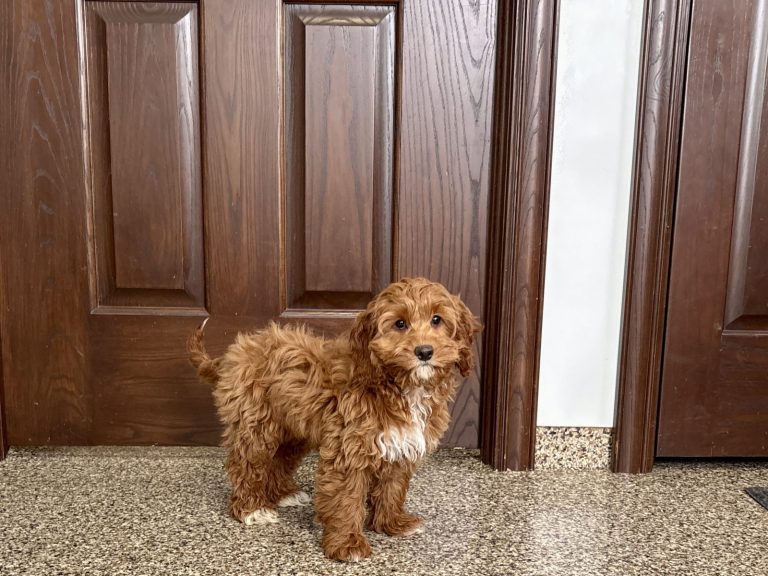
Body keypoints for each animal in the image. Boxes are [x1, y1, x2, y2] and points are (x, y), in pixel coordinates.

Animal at [188, 277, 481, 561]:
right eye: (400, 323)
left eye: (437, 319)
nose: (424, 351)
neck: (395, 383)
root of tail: (236, 352)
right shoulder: (348, 450)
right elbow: (346, 499)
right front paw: (347, 545)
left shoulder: (400, 446)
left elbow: (393, 487)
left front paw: (392, 523)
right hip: (256, 424)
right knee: (246, 464)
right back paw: (251, 508)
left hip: (293, 431)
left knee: (280, 459)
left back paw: (284, 494)